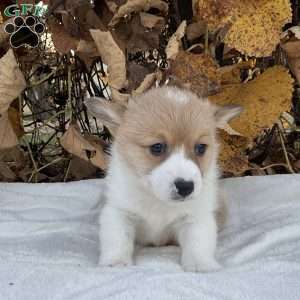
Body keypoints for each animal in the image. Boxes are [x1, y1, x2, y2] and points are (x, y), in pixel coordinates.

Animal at [86, 86, 241, 272]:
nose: (186, 187)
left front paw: (201, 265)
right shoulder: (119, 212)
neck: (158, 200)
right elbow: (117, 240)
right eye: (157, 147)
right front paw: (115, 262)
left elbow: (198, 244)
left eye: (201, 148)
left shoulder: (196, 217)